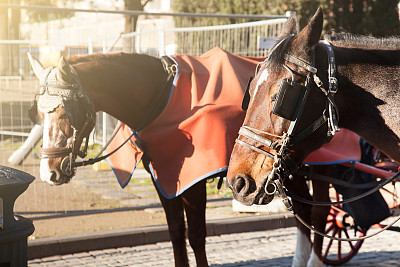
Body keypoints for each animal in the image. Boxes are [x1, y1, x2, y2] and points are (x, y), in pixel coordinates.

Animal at [28, 49, 260, 266]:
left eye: (65, 114)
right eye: (38, 115)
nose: (48, 172)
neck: (164, 96)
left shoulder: (193, 182)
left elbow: (196, 236)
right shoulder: (165, 179)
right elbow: (176, 232)